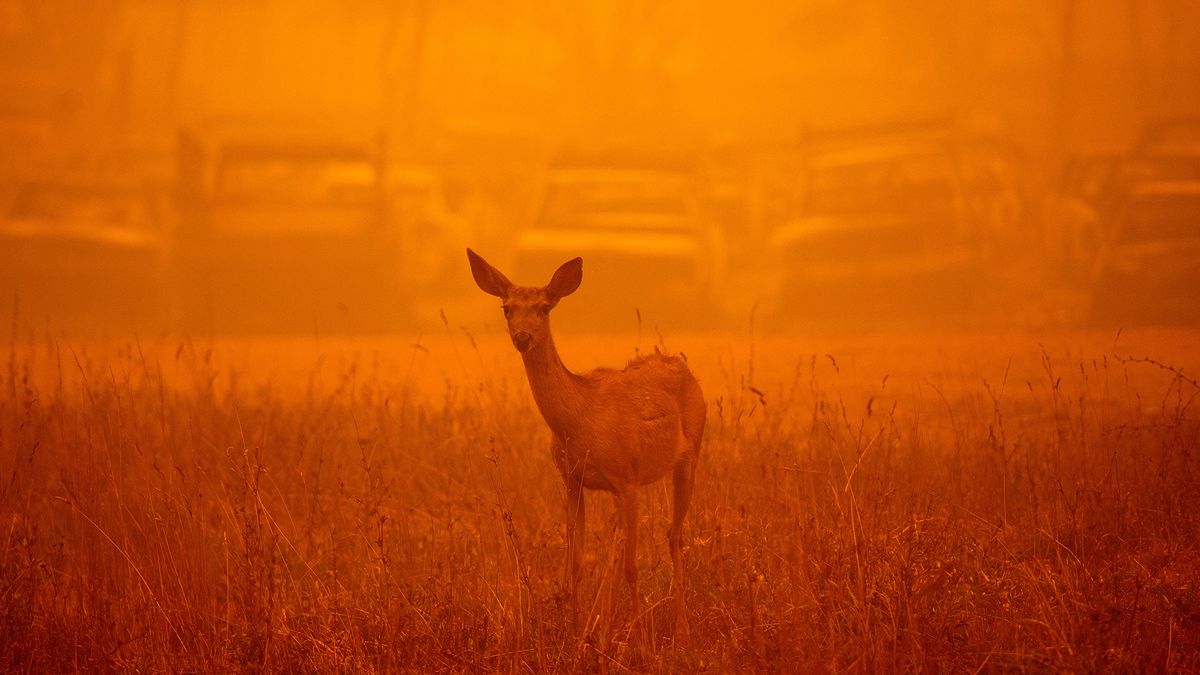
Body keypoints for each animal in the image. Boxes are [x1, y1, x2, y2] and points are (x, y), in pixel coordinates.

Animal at [465, 249, 705, 638]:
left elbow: (631, 566)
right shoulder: (573, 480)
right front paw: (576, 633)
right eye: (506, 307)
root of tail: (682, 365)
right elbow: (576, 563)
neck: (580, 421)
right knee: (626, 545)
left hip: (691, 455)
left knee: (673, 536)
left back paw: (682, 630)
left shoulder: (627, 479)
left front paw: (640, 640)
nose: (522, 337)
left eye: (545, 307)